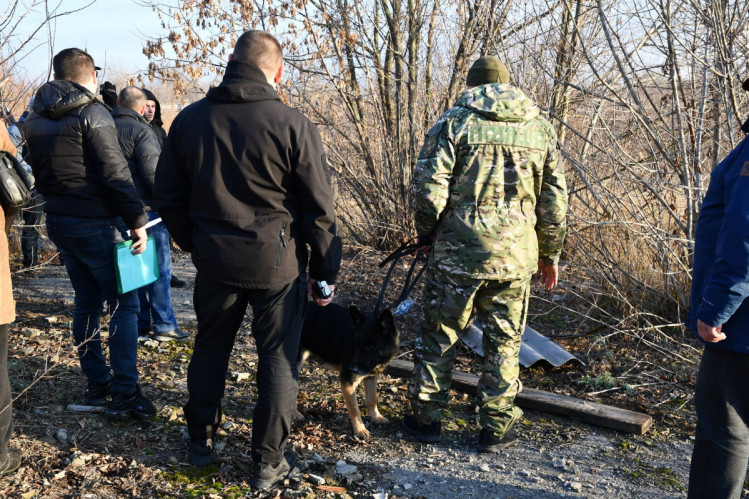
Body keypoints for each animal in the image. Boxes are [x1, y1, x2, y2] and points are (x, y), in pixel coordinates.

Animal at [300, 300, 400, 442]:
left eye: (371, 347)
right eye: (357, 344)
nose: (352, 369)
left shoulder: (371, 377)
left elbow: (372, 399)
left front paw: (375, 416)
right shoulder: (347, 382)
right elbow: (354, 408)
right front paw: (360, 429)